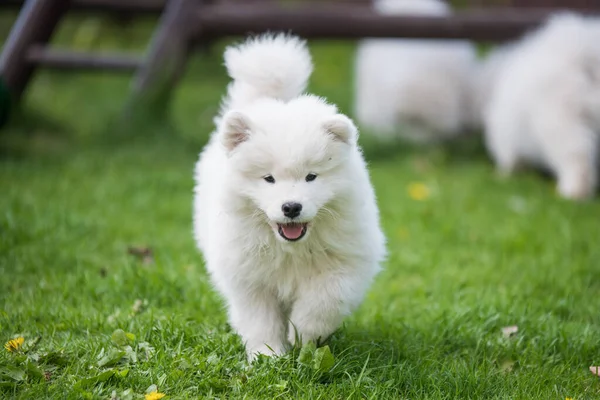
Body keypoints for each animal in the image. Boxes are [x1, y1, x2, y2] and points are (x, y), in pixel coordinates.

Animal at [195, 33, 386, 360]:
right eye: (268, 178)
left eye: (311, 176)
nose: (291, 207)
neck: (291, 249)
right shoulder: (249, 278)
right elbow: (260, 319)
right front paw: (267, 356)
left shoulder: (345, 263)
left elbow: (323, 302)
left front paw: (302, 338)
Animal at [480, 12, 600, 200]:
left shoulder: (507, 140)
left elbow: (510, 158)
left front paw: (504, 175)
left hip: (561, 127)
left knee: (577, 161)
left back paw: (572, 193)